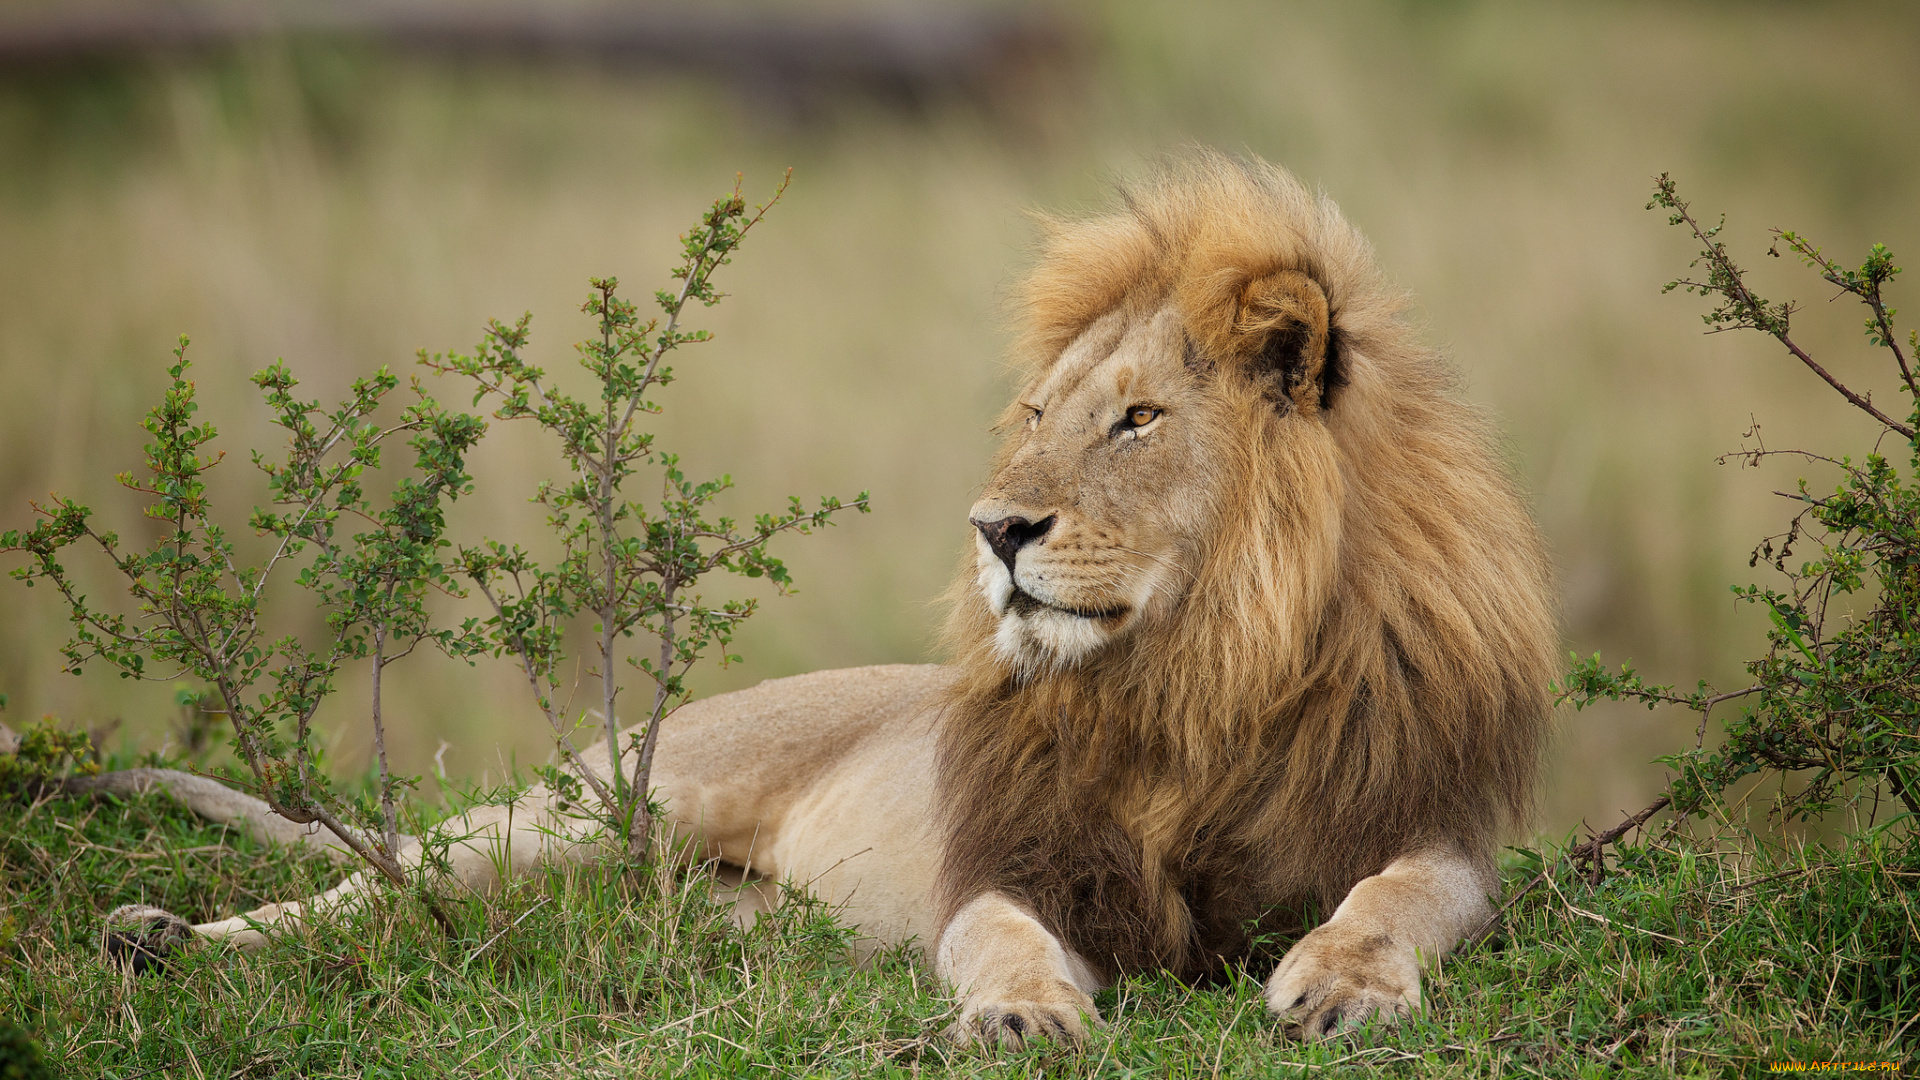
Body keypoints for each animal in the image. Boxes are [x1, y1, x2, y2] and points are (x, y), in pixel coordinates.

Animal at [67, 151, 1551, 1045]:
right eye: (1037, 414)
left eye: (1137, 420)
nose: (996, 530)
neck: (1200, 672)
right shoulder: (1013, 860)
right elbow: (998, 937)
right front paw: (1022, 1015)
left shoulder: (1428, 824)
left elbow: (1396, 897)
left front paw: (1341, 984)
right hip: (600, 810)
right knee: (378, 884)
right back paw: (159, 940)